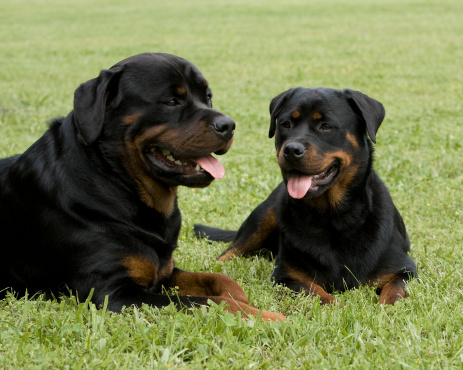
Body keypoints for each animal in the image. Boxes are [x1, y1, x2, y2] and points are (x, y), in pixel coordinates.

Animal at [0, 52, 284, 320]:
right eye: (171, 101)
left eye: (208, 97)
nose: (228, 125)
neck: (115, 181)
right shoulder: (113, 293)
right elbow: (212, 302)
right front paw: (266, 316)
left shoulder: (164, 272)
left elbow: (220, 280)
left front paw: (246, 300)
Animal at [194, 87, 418, 306]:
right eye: (285, 124)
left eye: (326, 126)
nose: (292, 149)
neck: (334, 218)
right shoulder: (286, 277)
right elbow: (319, 295)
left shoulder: (404, 270)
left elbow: (394, 292)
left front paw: (385, 308)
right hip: (264, 216)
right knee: (231, 251)